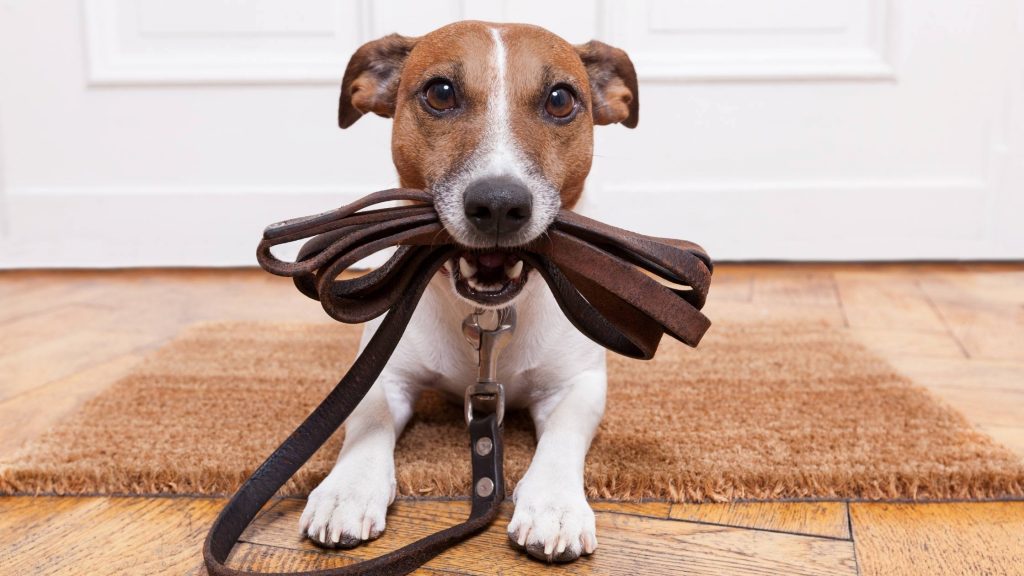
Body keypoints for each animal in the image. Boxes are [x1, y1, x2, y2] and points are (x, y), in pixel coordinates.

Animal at [294, 20, 638, 557]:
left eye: (560, 99)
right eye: (440, 92)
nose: (498, 204)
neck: (488, 315)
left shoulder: (578, 384)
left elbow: (562, 436)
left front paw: (554, 505)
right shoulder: (383, 372)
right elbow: (367, 421)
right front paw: (346, 489)